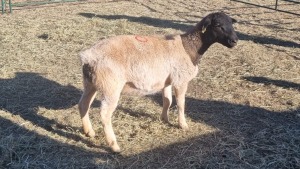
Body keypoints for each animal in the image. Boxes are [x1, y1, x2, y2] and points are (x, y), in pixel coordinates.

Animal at [78, 11, 238, 152]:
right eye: (218, 25)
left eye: (231, 23)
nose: (235, 41)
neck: (189, 48)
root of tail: (88, 56)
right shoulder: (180, 80)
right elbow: (181, 104)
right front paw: (183, 125)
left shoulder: (166, 80)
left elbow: (167, 101)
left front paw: (165, 119)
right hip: (110, 86)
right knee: (105, 115)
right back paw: (114, 145)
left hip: (91, 83)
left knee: (83, 105)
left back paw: (89, 131)